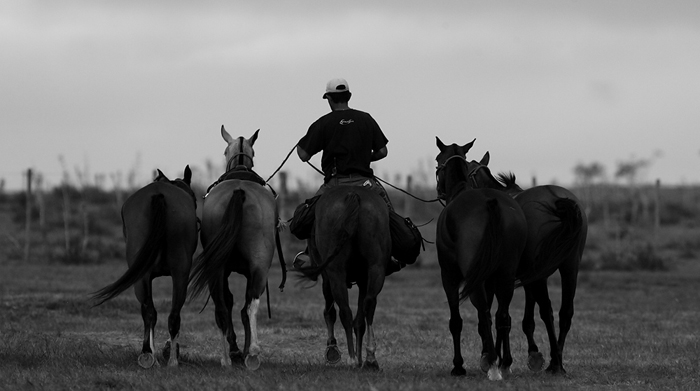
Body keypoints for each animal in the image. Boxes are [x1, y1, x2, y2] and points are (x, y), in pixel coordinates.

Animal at [91, 167, 197, 370]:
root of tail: (158, 194)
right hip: (176, 274)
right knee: (168, 314)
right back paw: (167, 359)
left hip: (151, 277)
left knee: (153, 313)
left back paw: (155, 357)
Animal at [190, 126, 280, 370]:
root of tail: (239, 191)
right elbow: (242, 307)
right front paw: (243, 350)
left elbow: (232, 305)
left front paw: (238, 350)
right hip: (258, 266)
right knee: (249, 305)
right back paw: (250, 353)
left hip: (219, 268)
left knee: (223, 307)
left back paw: (227, 357)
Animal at [296, 186, 394, 370]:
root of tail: (353, 194)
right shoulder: (363, 279)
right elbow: (360, 320)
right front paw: (362, 358)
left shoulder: (327, 276)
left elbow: (330, 311)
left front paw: (333, 351)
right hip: (375, 268)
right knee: (369, 305)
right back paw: (370, 358)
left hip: (336, 272)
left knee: (345, 312)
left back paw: (351, 358)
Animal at [434, 138, 528, 380]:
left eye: (437, 160)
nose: (439, 190)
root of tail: (490, 203)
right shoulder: (491, 279)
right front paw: (489, 356)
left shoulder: (449, 276)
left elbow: (457, 321)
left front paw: (459, 366)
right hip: (505, 275)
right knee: (502, 315)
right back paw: (502, 363)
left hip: (475, 279)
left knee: (485, 313)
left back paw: (493, 365)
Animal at [468, 150, 588, 374]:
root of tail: (556, 199)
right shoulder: (528, 276)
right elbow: (525, 318)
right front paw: (531, 354)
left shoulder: (498, 278)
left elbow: (493, 315)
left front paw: (492, 357)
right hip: (570, 265)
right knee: (565, 312)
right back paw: (556, 361)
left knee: (547, 311)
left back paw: (554, 362)